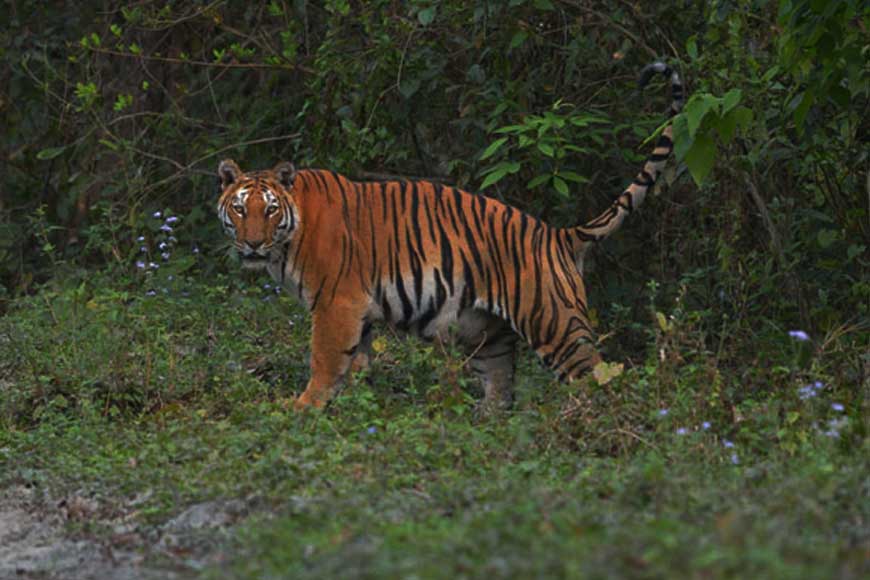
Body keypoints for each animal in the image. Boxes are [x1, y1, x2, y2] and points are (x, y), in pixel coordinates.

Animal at [217, 62, 684, 411]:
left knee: (600, 379)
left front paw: (303, 407)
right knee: (501, 390)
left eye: (269, 210)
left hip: (556, 325)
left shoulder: (337, 304)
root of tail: (559, 235)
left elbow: (326, 361)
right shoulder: (359, 311)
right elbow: (357, 365)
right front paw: (355, 407)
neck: (289, 238)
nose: (253, 243)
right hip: (489, 335)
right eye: (240, 209)